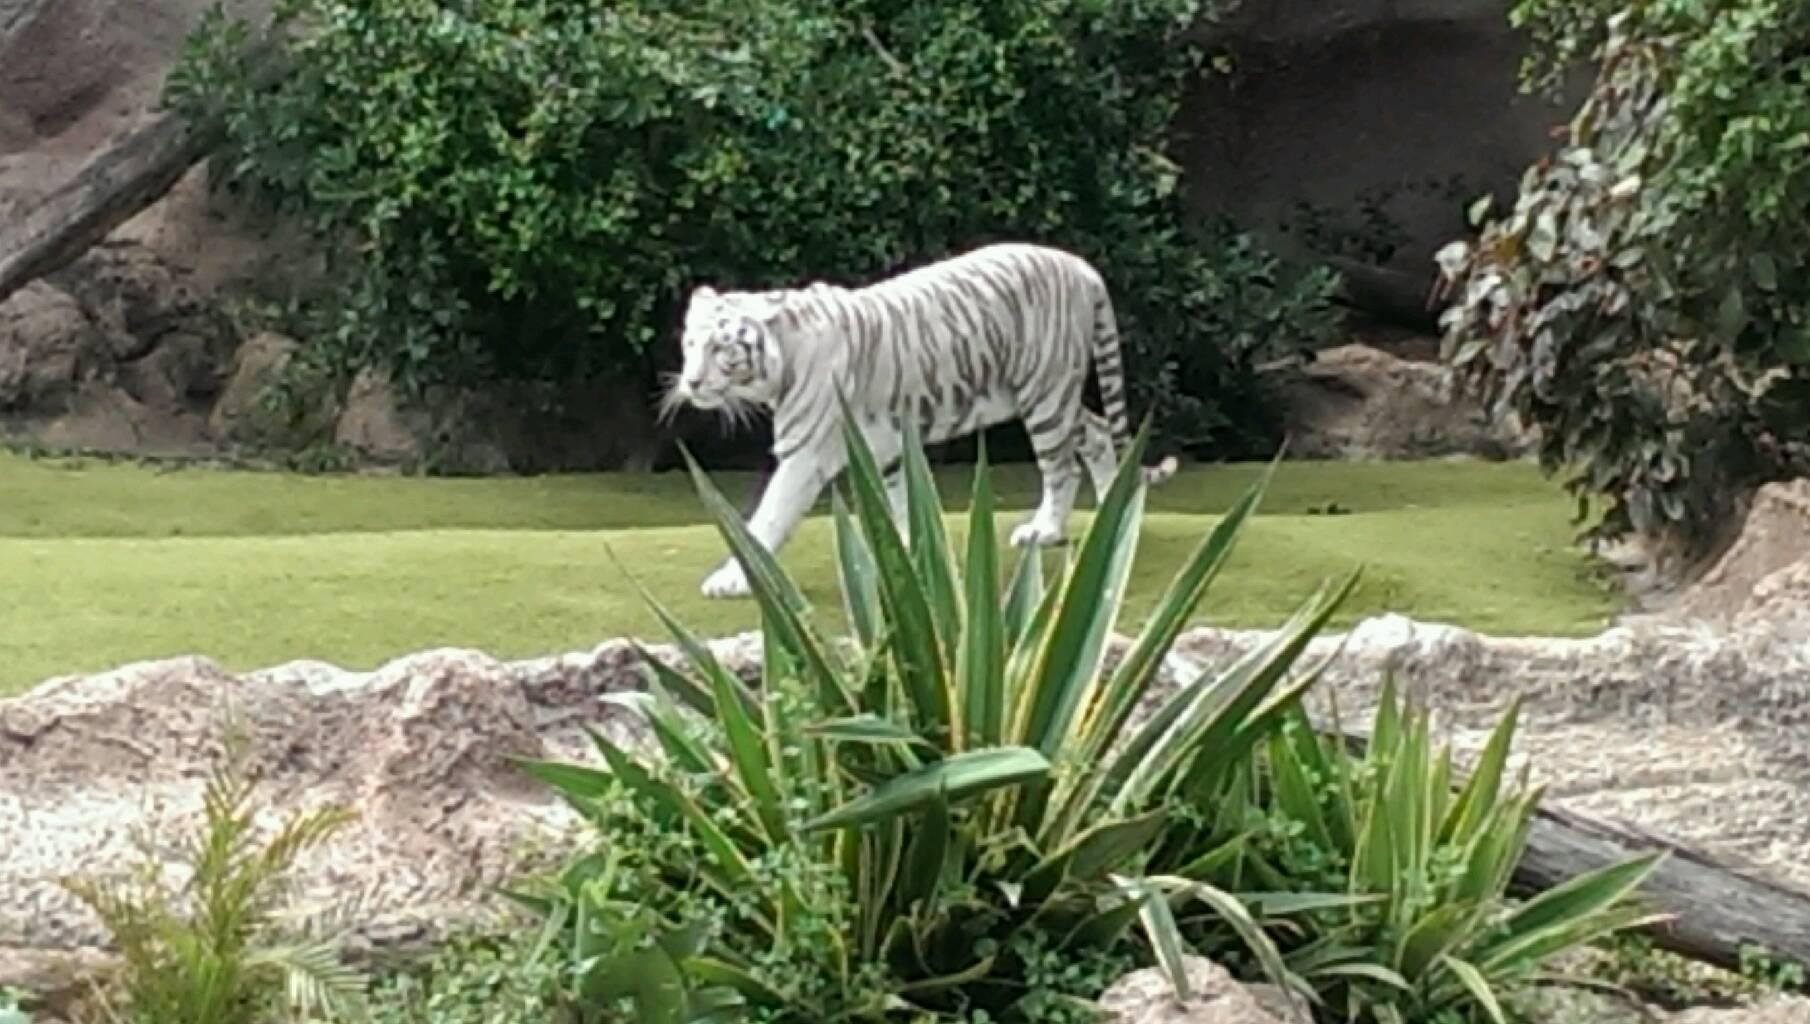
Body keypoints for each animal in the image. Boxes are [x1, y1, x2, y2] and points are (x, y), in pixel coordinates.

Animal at [673, 242, 1180, 600]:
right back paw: (1115, 509)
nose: (691, 382)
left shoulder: (804, 454)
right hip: (1048, 396)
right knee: (1097, 433)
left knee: (1063, 465)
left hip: (1045, 394)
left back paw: (1046, 531)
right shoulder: (888, 447)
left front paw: (734, 580)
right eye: (690, 344)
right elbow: (900, 505)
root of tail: (1080, 266)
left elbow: (766, 518)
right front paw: (910, 558)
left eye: (721, 347)